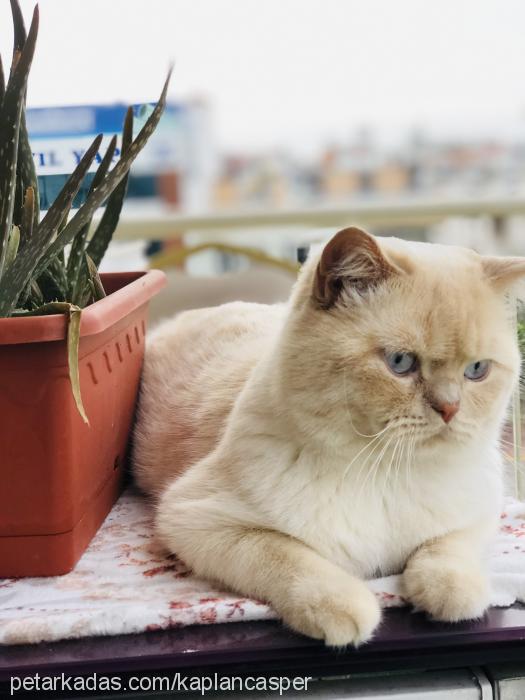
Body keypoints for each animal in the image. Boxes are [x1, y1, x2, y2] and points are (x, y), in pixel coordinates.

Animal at [133, 226, 520, 644]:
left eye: (477, 370)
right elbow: (289, 556)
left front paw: (450, 593)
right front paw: (345, 609)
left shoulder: (482, 509)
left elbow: (447, 549)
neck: (386, 470)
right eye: (400, 362)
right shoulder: (196, 518)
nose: (450, 410)